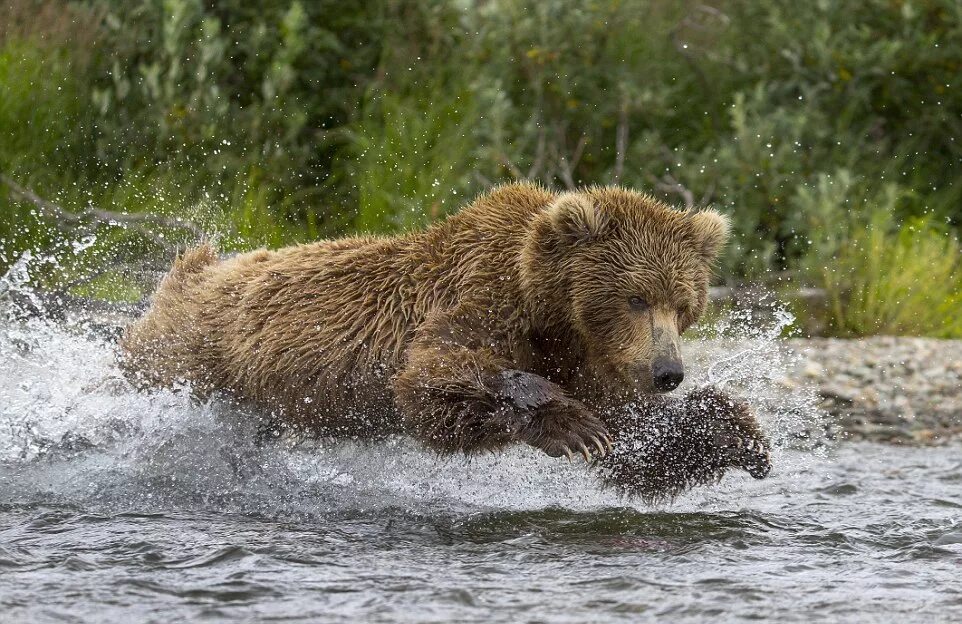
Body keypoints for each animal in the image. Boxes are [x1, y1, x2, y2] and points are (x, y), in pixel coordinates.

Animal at [120, 182, 768, 502]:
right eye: (635, 298)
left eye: (682, 305)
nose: (668, 372)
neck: (550, 312)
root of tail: (186, 273)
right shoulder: (481, 295)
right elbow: (430, 375)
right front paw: (571, 426)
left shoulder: (583, 358)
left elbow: (636, 441)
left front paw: (739, 434)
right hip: (188, 356)